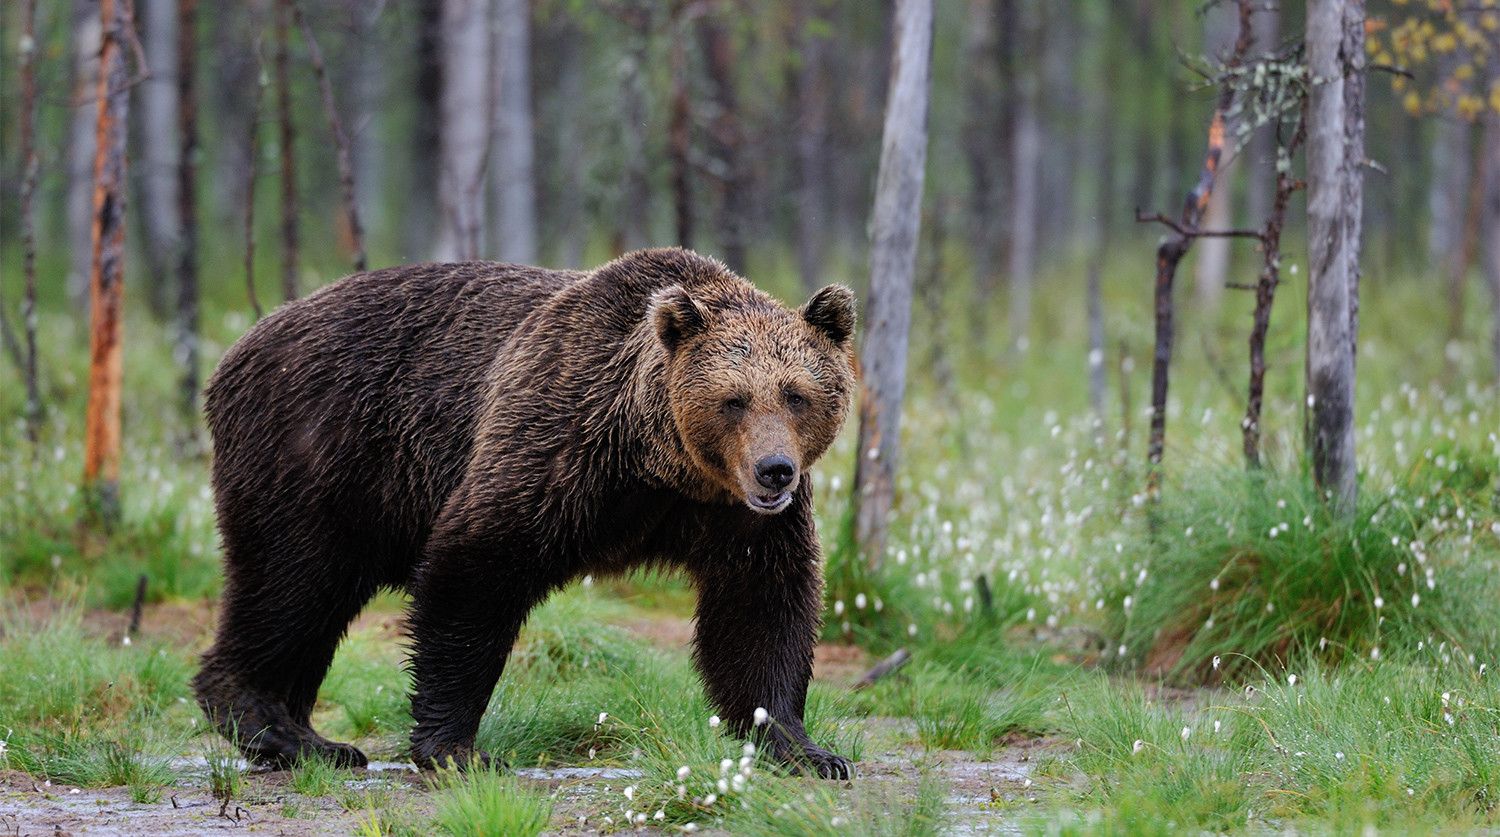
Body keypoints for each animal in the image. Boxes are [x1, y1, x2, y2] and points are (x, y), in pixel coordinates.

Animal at [193, 247, 858, 780]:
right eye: (733, 399)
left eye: (796, 394)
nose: (775, 470)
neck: (659, 465)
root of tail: (240, 345)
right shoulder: (558, 444)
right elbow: (476, 569)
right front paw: (457, 748)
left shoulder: (734, 516)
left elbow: (761, 607)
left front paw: (805, 749)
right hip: (318, 452)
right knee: (292, 583)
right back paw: (275, 728)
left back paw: (312, 739)